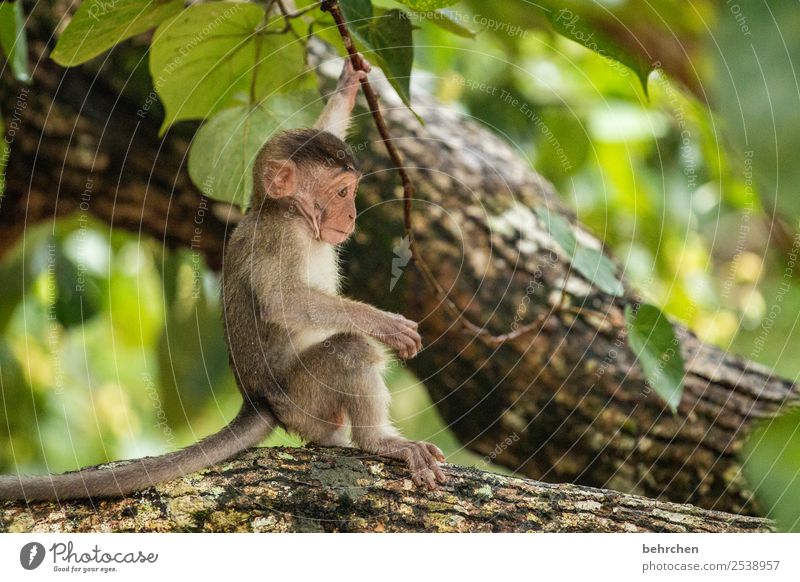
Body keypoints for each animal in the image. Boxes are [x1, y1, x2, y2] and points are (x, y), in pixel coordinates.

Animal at [0, 60, 446, 506]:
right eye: (341, 192)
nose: (352, 215)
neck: (288, 213)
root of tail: (260, 402)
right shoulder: (279, 239)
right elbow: (283, 301)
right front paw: (385, 324)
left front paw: (347, 85)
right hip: (304, 400)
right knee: (351, 350)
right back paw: (380, 442)